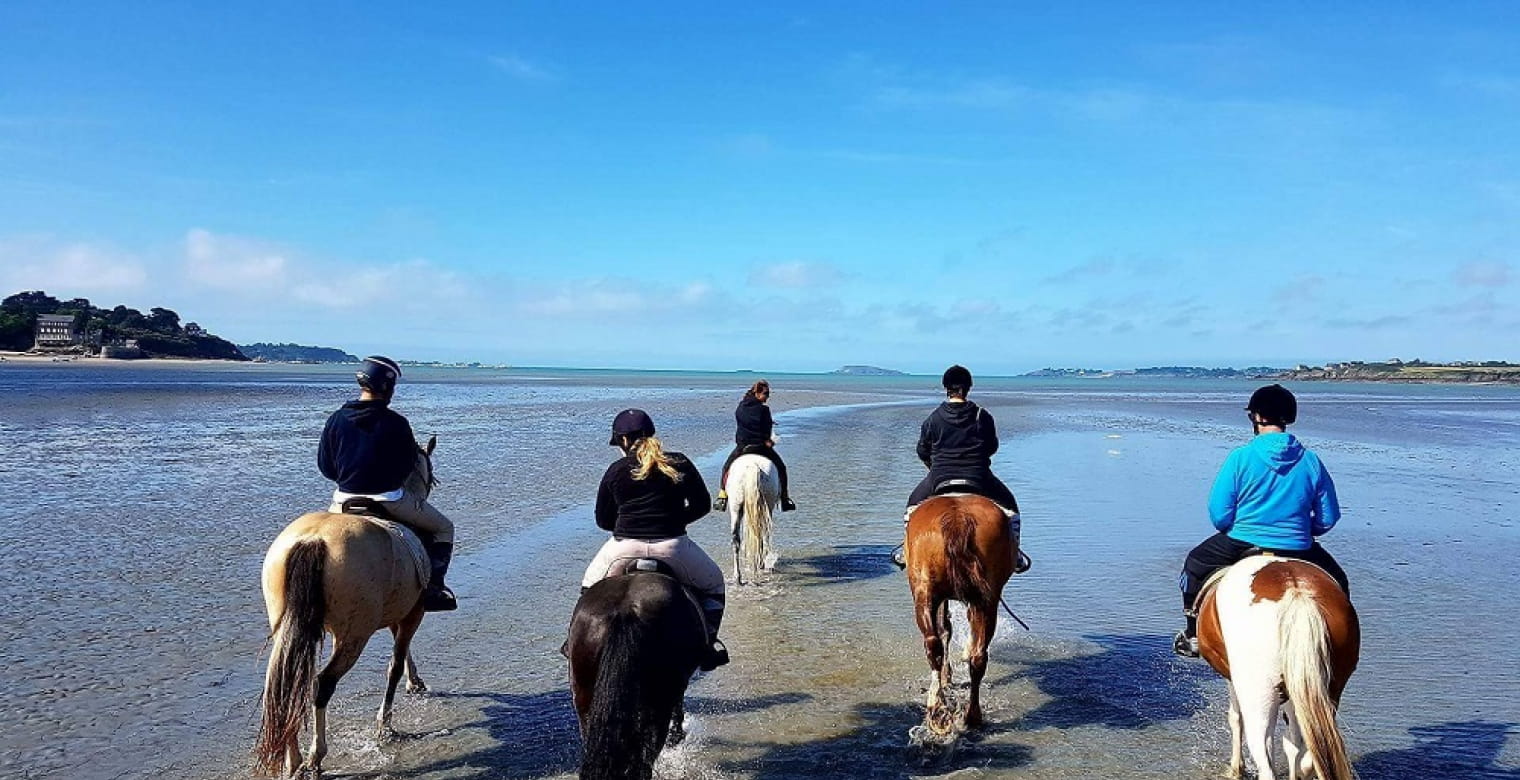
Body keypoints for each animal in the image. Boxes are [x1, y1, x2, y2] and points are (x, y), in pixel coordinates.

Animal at [255, 434, 440, 775]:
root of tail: (313, 540)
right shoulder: (413, 612)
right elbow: (395, 663)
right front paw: (385, 724)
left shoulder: (399, 612)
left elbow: (403, 652)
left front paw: (415, 682)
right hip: (354, 636)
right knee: (321, 684)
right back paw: (315, 756)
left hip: (290, 628)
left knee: (286, 683)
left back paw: (293, 759)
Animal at [720, 450, 778, 583]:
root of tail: (752, 466)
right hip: (766, 506)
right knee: (763, 534)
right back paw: (761, 565)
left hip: (735, 506)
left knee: (736, 539)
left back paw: (738, 577)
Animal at [905, 489, 1015, 732]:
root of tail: (958, 519)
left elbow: (945, 627)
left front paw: (947, 676)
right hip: (986, 598)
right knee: (977, 655)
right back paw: (970, 715)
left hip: (925, 591)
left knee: (933, 643)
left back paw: (937, 705)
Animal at [1203, 553, 1361, 778]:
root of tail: (1296, 593)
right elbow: (1294, 743)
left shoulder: (1232, 678)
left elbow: (1235, 718)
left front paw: (1236, 768)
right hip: (1326, 691)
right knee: (1309, 751)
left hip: (1259, 696)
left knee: (1265, 759)